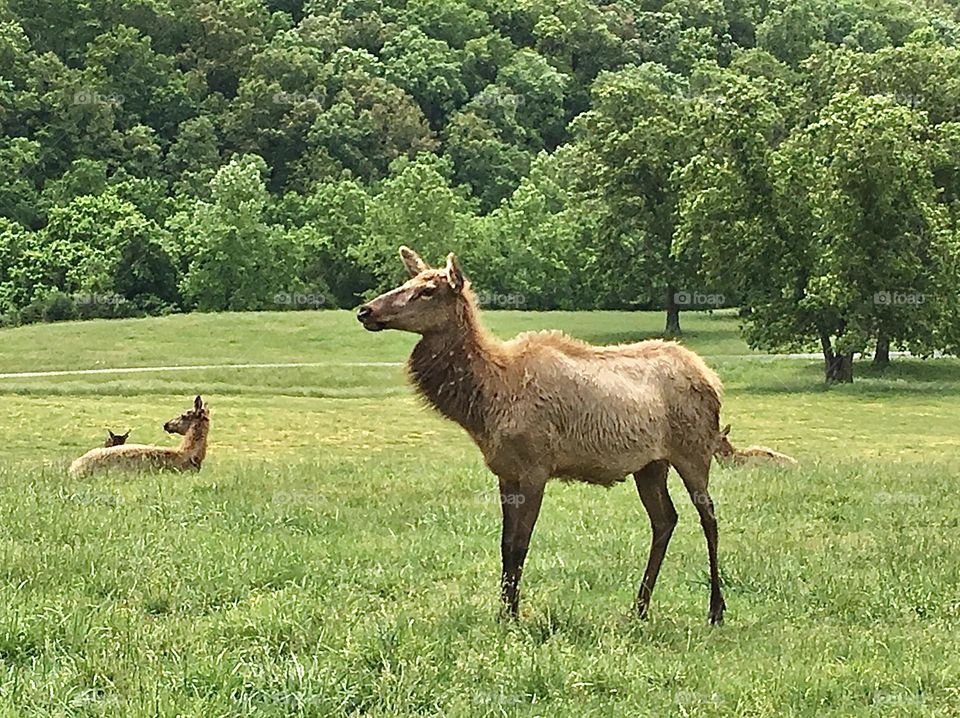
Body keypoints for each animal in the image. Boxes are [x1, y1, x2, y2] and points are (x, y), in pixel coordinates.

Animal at [360, 250, 728, 628]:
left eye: (428, 290)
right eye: (406, 282)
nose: (365, 310)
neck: (487, 400)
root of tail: (711, 378)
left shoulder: (536, 467)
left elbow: (520, 544)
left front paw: (513, 615)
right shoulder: (505, 472)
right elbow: (505, 545)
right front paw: (502, 612)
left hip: (694, 451)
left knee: (709, 518)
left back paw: (715, 609)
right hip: (650, 465)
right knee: (665, 519)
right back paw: (638, 608)